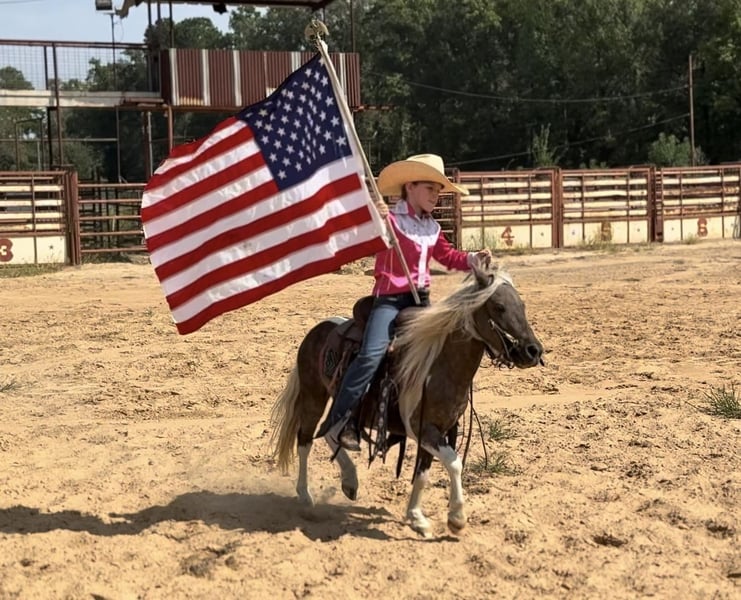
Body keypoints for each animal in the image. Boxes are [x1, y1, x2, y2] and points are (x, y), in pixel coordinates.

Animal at [270, 261, 543, 537]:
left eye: (522, 305)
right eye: (499, 307)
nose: (533, 351)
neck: (437, 364)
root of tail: (319, 328)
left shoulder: (437, 430)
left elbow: (423, 473)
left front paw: (416, 517)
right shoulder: (423, 428)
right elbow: (454, 463)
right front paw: (457, 518)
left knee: (332, 431)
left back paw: (350, 481)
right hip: (313, 395)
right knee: (306, 439)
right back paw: (306, 497)